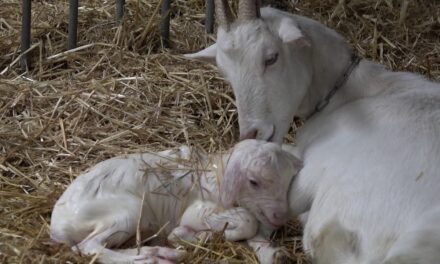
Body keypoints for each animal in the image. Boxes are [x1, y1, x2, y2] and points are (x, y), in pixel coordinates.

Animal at [49, 139, 302, 262]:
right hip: (127, 211)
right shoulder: (198, 210)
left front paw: (273, 254)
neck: (214, 174)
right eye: (253, 181)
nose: (280, 216)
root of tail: (57, 226)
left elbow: (256, 229)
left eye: (289, 180)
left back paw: (162, 253)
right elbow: (248, 222)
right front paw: (190, 235)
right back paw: (153, 259)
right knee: (89, 247)